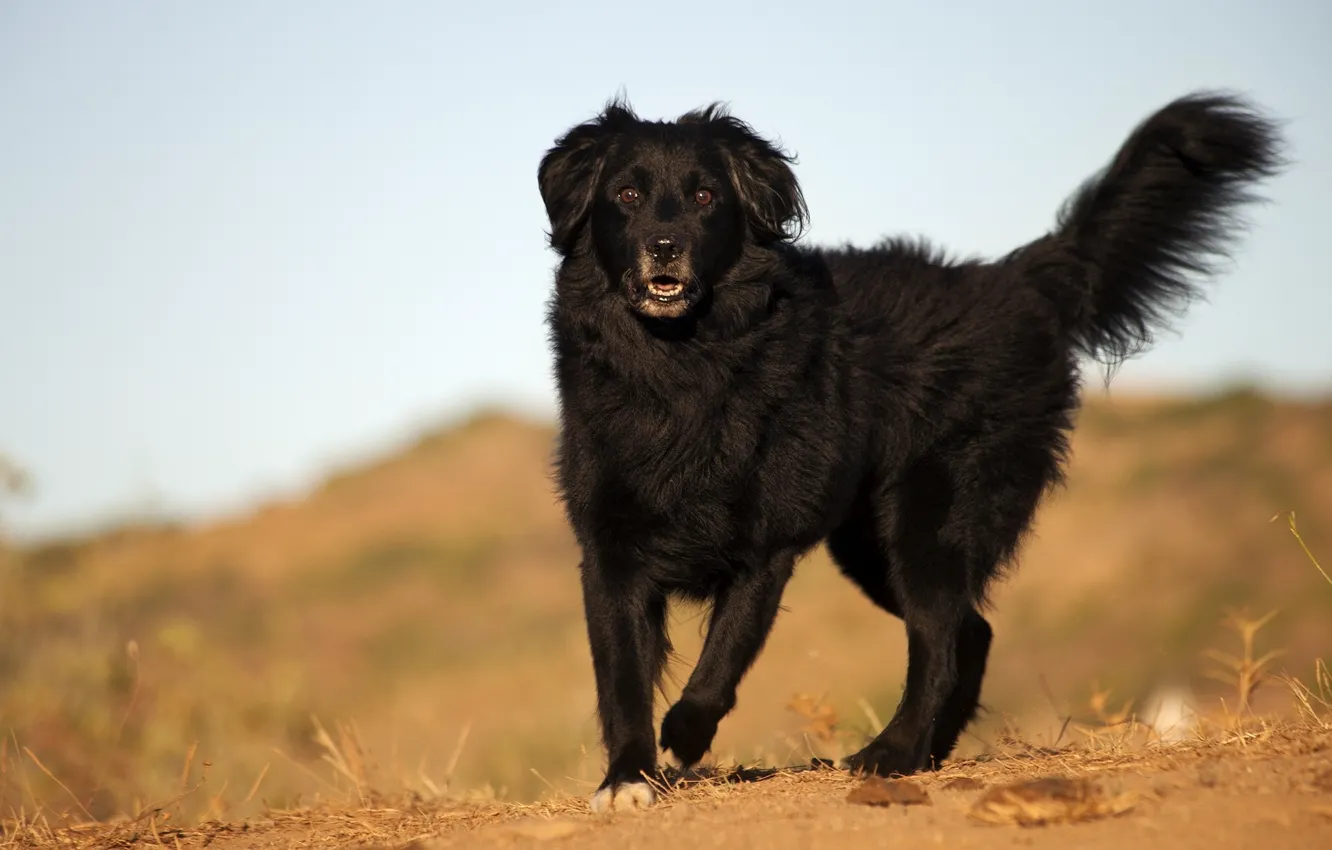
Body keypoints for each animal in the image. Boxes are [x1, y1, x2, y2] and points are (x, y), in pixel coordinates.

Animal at [535, 91, 1284, 810]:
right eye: (626, 195)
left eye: (704, 197)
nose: (664, 246)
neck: (679, 364)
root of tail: (1016, 279)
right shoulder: (611, 551)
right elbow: (622, 678)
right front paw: (627, 779)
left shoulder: (765, 544)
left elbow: (722, 660)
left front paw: (686, 735)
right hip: (871, 547)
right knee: (969, 630)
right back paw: (927, 750)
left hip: (931, 520)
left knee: (940, 636)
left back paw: (893, 753)